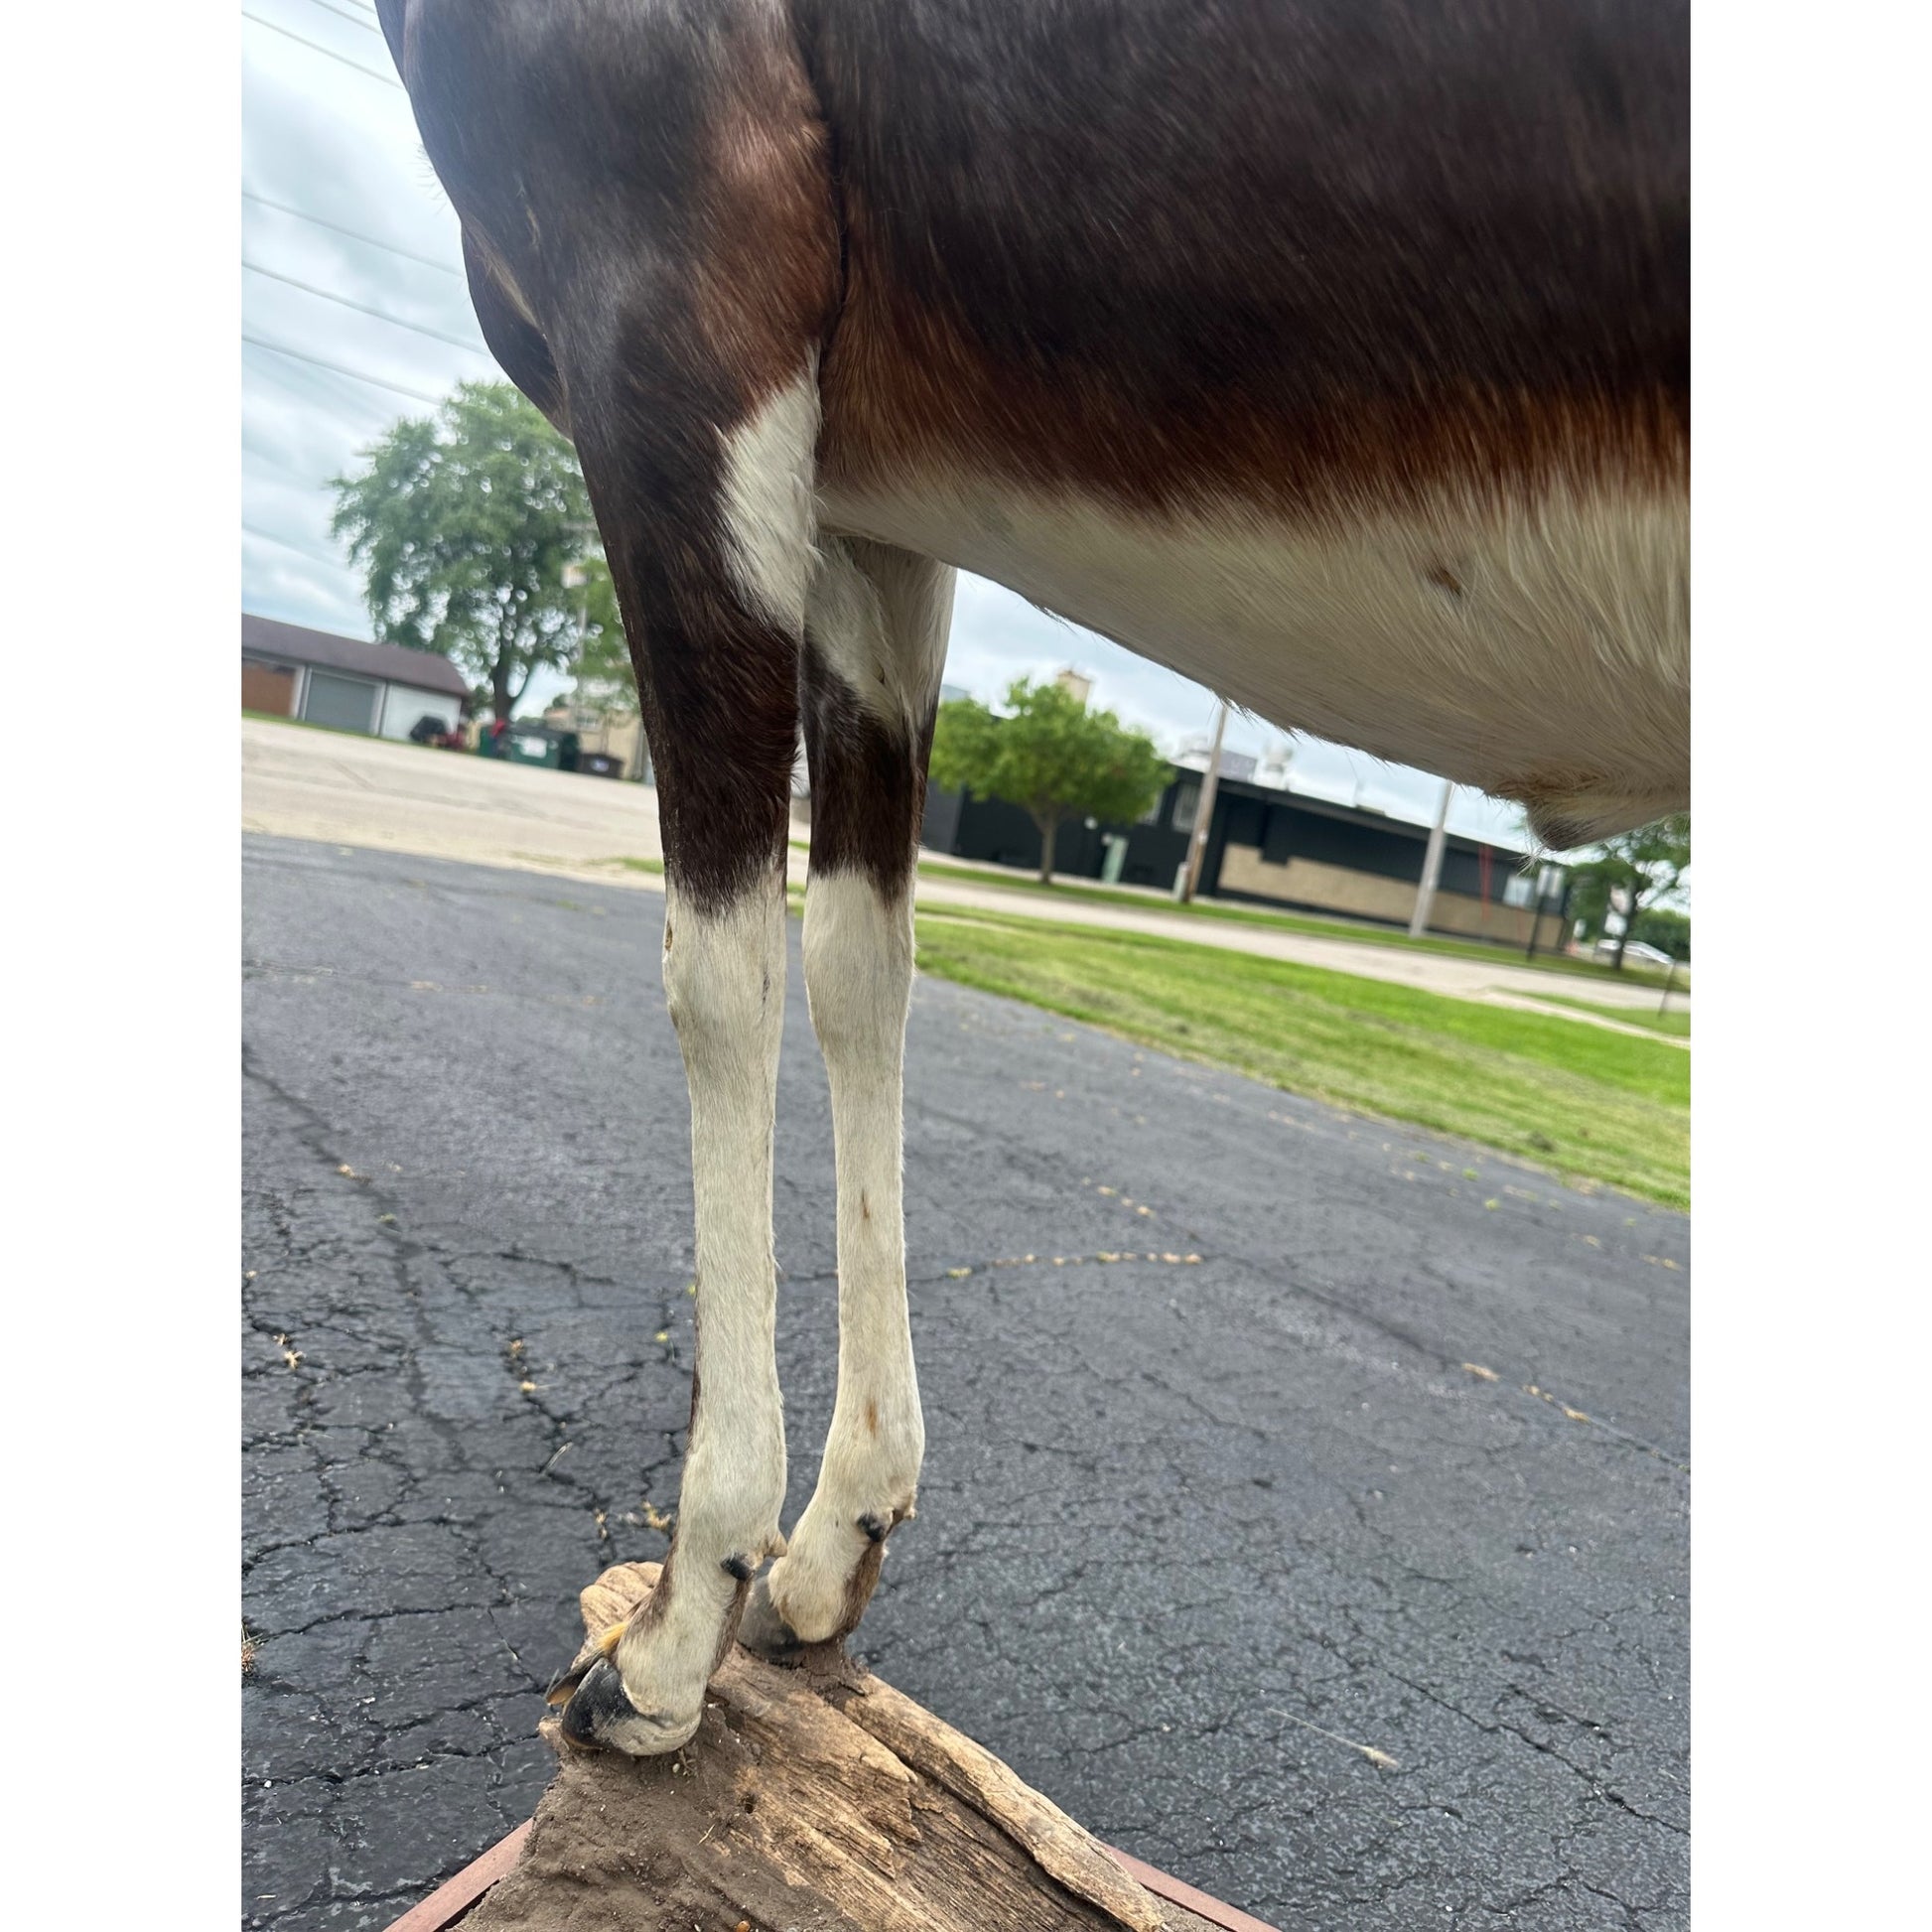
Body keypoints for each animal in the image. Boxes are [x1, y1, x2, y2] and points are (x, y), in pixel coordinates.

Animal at [373, 0, 1688, 1753]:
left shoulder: (667, 300)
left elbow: (717, 971)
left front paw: (670, 1631)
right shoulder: (873, 513)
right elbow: (860, 962)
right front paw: (831, 1539)